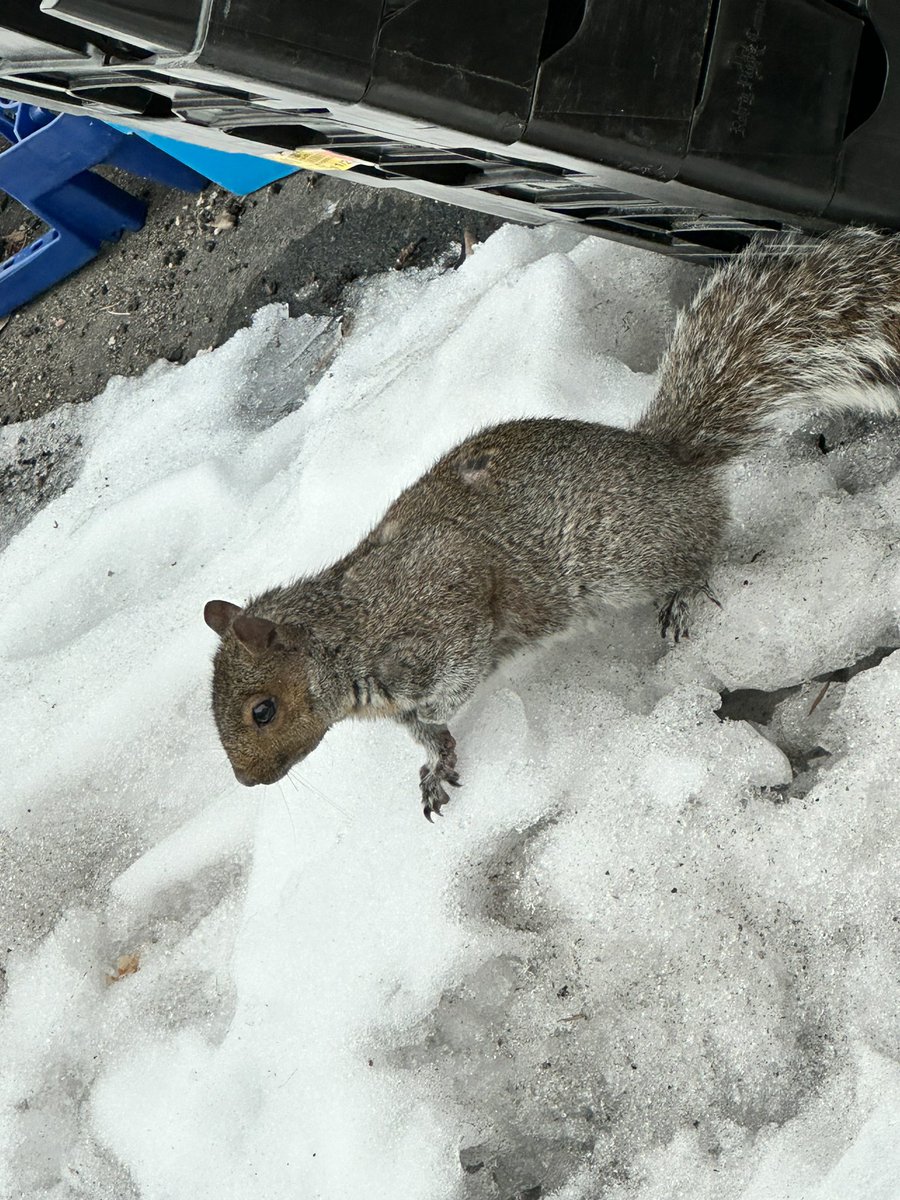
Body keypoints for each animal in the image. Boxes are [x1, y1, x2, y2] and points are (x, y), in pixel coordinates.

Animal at [205, 227, 900, 819]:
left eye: (262, 711)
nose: (246, 781)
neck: (348, 632)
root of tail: (670, 458)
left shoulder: (445, 599)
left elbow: (461, 667)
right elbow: (427, 732)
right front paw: (435, 758)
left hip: (621, 555)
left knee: (700, 545)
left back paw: (682, 591)